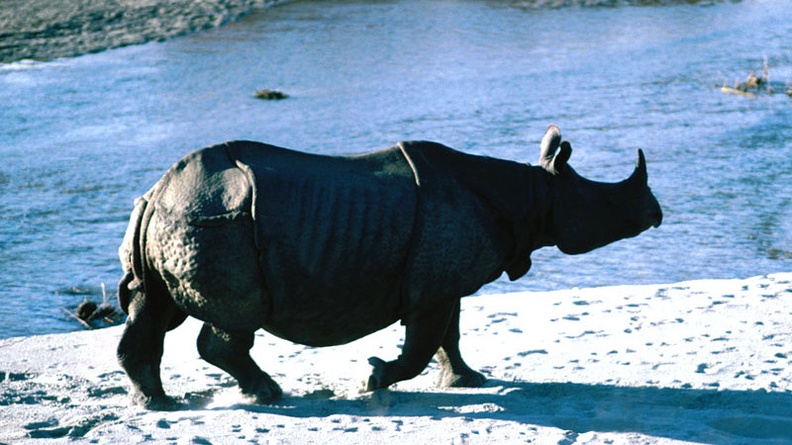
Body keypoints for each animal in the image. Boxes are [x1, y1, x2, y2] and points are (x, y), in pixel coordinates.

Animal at [117, 125, 662, 410]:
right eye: (606, 202)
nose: (655, 214)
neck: (536, 193)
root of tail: (157, 193)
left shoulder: (444, 282)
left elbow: (449, 336)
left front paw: (469, 382)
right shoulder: (433, 286)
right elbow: (422, 345)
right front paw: (373, 379)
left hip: (174, 220)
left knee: (153, 309)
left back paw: (157, 404)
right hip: (214, 223)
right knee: (234, 321)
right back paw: (268, 394)